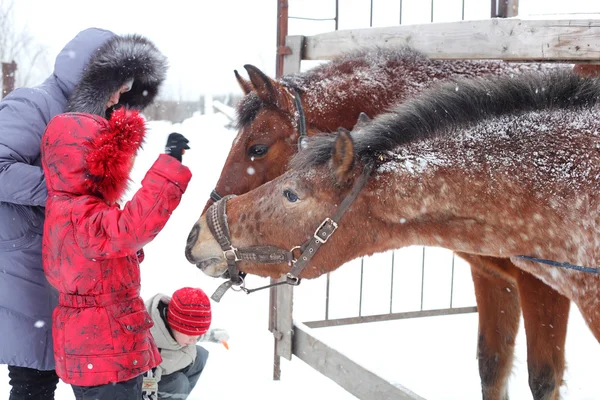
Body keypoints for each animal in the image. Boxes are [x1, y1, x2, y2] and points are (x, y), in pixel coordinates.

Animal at [190, 68, 600, 396]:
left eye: (257, 148)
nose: (197, 232)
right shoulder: (494, 277)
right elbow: (492, 366)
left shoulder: (540, 290)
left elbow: (541, 378)